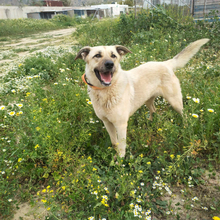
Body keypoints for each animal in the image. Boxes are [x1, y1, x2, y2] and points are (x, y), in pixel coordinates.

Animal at [75, 38, 210, 157]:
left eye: (113, 56)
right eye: (97, 55)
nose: (110, 64)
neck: (105, 91)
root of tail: (165, 63)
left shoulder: (121, 125)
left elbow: (122, 145)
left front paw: (120, 160)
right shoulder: (107, 123)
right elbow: (114, 142)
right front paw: (114, 155)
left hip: (175, 101)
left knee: (185, 114)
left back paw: (186, 127)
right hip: (148, 100)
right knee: (154, 110)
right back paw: (150, 122)